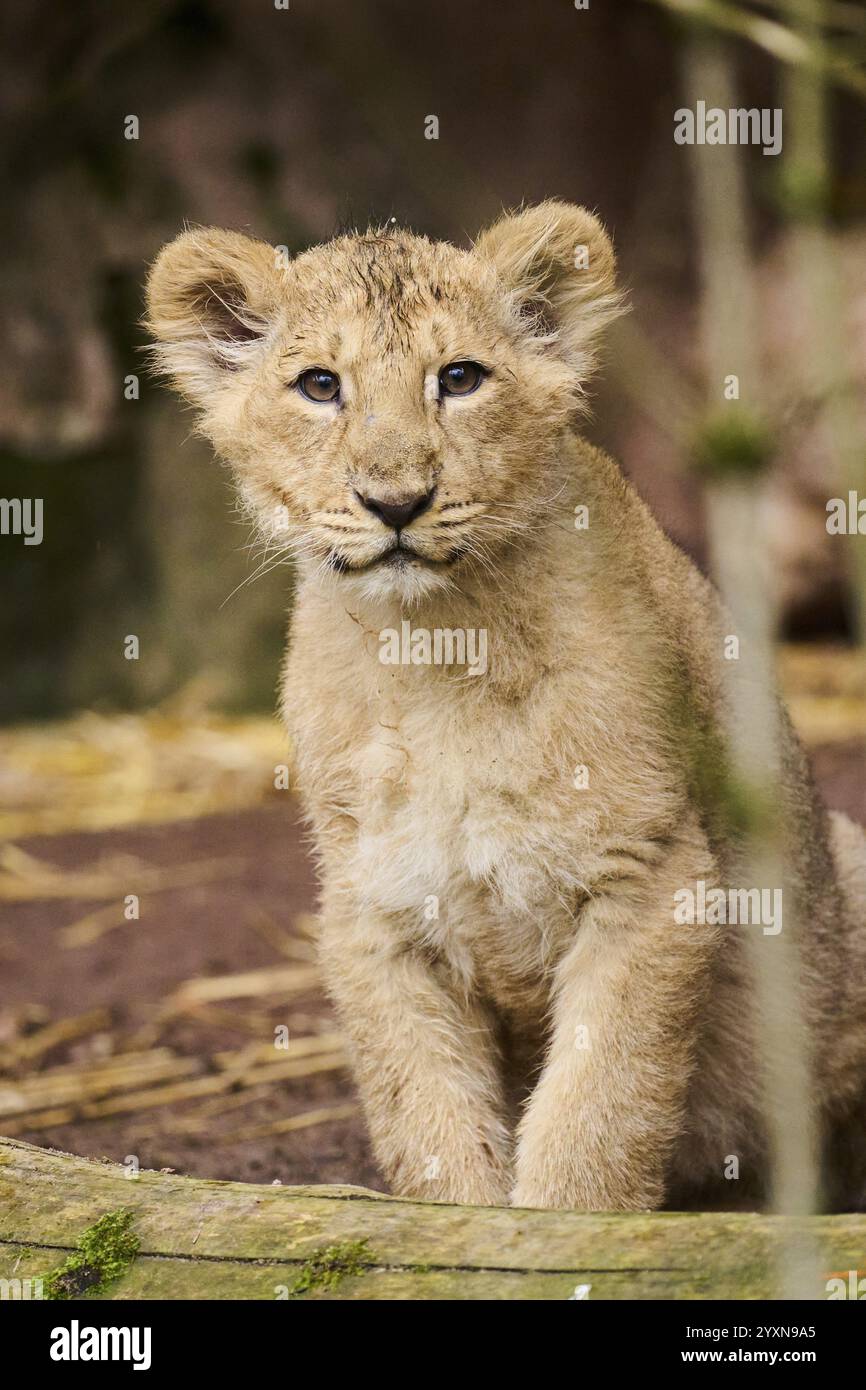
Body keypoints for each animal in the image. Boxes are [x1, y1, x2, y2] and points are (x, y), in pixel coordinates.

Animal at [146, 202, 866, 1210]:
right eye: (319, 385)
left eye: (460, 378)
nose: (396, 501)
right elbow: (428, 1119)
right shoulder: (374, 910)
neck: (434, 654)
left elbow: (599, 1105)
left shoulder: (651, 875)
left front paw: (562, 1225)